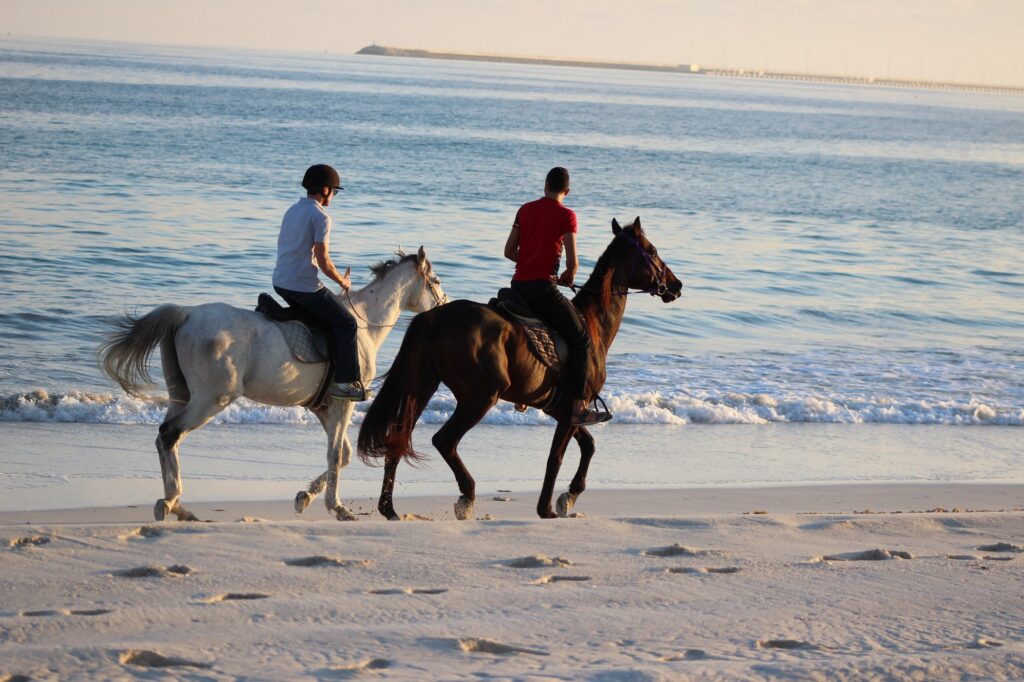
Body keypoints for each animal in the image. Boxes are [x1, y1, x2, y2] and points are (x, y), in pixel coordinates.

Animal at [98, 247, 447, 522]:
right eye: (437, 281)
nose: (445, 305)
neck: (362, 325)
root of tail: (187, 314)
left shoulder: (324, 408)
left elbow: (343, 455)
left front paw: (304, 498)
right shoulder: (342, 402)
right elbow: (336, 455)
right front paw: (337, 507)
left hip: (182, 395)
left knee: (168, 439)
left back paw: (178, 507)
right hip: (211, 399)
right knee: (169, 434)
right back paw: (171, 503)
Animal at [357, 218, 682, 520]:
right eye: (653, 250)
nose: (676, 285)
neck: (593, 323)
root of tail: (433, 317)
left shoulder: (564, 410)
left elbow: (588, 446)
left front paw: (569, 496)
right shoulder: (572, 411)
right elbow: (556, 457)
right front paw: (548, 507)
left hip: (423, 386)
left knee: (397, 439)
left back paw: (389, 508)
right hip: (479, 397)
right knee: (444, 441)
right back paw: (466, 496)